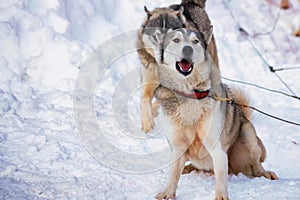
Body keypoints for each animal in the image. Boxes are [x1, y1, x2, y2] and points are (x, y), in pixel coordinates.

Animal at [151, 28, 278, 200]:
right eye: (176, 40)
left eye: (195, 41)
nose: (187, 49)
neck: (191, 94)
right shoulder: (178, 147)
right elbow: (173, 175)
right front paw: (167, 193)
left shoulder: (217, 149)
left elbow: (221, 178)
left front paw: (221, 196)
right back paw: (189, 168)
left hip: (248, 134)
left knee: (256, 166)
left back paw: (265, 173)